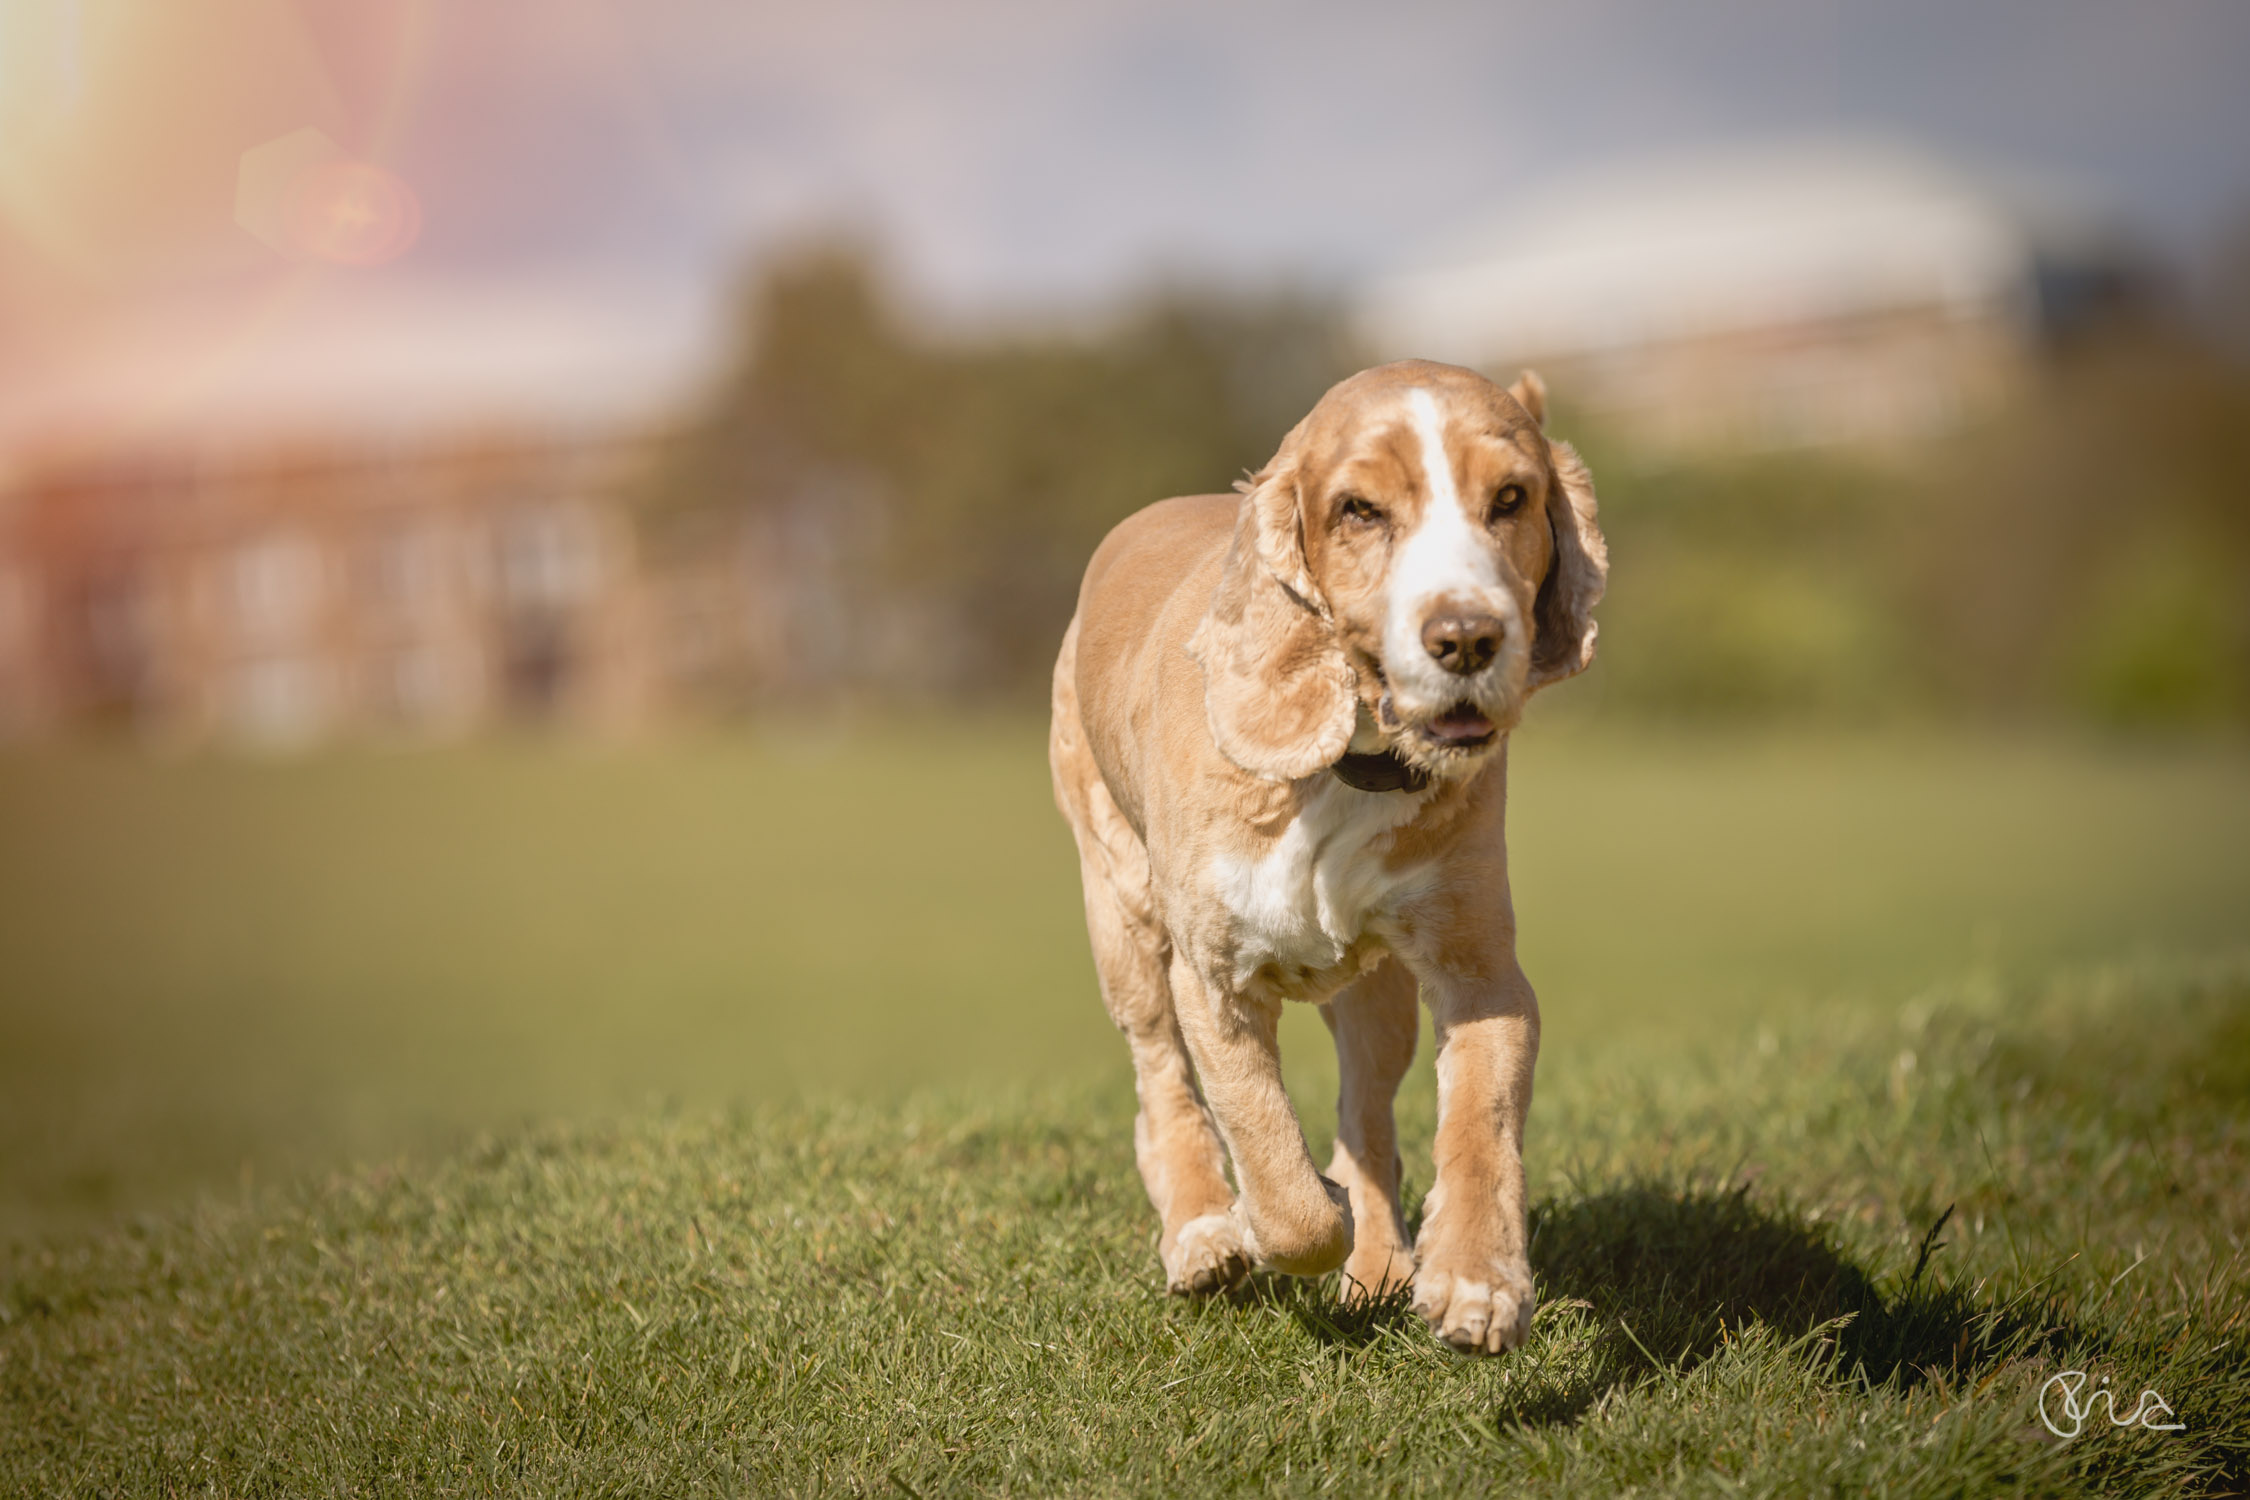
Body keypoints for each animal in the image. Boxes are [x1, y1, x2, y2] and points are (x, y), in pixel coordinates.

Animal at [1048, 357, 1602, 1358]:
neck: (1353, 761)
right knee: (1161, 1082)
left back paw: (1379, 1262)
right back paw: (1203, 1233)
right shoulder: (1213, 975)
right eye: (1359, 510)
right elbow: (1274, 1166)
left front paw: (1476, 1283)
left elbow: (1481, 1122)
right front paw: (1293, 1217)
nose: (1468, 637)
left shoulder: (1480, 972)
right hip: (1121, 915)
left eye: (1511, 498)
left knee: (1366, 1114)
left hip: (1375, 995)